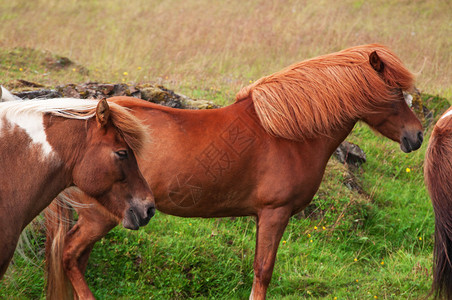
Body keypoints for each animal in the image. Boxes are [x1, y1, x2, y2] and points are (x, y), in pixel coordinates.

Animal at [46, 43, 424, 298]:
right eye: (394, 90)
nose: (417, 136)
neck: (286, 133)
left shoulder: (262, 216)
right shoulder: (274, 213)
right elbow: (263, 271)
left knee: (75, 259)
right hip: (100, 216)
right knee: (69, 255)